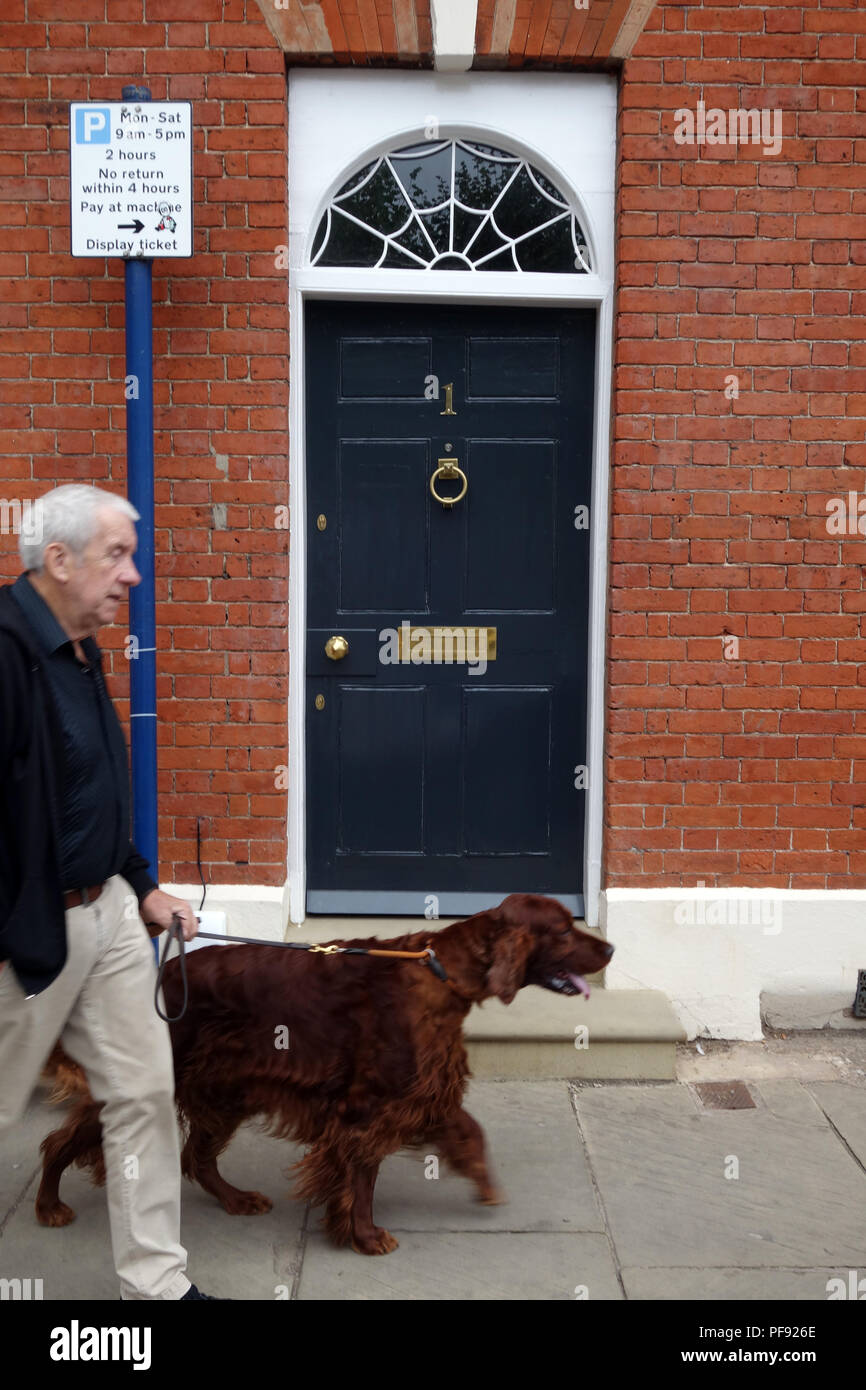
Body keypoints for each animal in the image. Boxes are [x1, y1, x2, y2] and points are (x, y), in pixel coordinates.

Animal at [37, 895, 614, 1256]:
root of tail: (162, 977)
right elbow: (362, 1177)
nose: (609, 949)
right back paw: (48, 1206)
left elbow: (468, 1129)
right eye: (564, 929)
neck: (440, 972)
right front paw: (364, 1235)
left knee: (195, 1157)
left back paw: (236, 1199)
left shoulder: (419, 1090)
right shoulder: (367, 1107)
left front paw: (482, 1180)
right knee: (60, 1142)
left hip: (226, 1091)